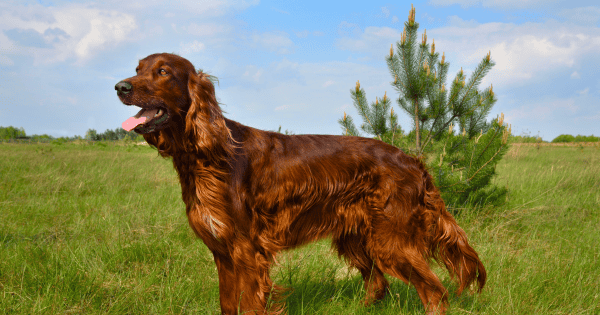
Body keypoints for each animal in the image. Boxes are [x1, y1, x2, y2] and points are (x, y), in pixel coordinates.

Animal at [115, 53, 486, 314]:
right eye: (137, 68)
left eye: (163, 71)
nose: (121, 86)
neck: (207, 155)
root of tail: (413, 161)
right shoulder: (221, 251)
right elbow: (228, 304)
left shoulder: (246, 250)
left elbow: (250, 305)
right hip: (357, 237)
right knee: (378, 285)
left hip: (391, 241)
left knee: (434, 292)